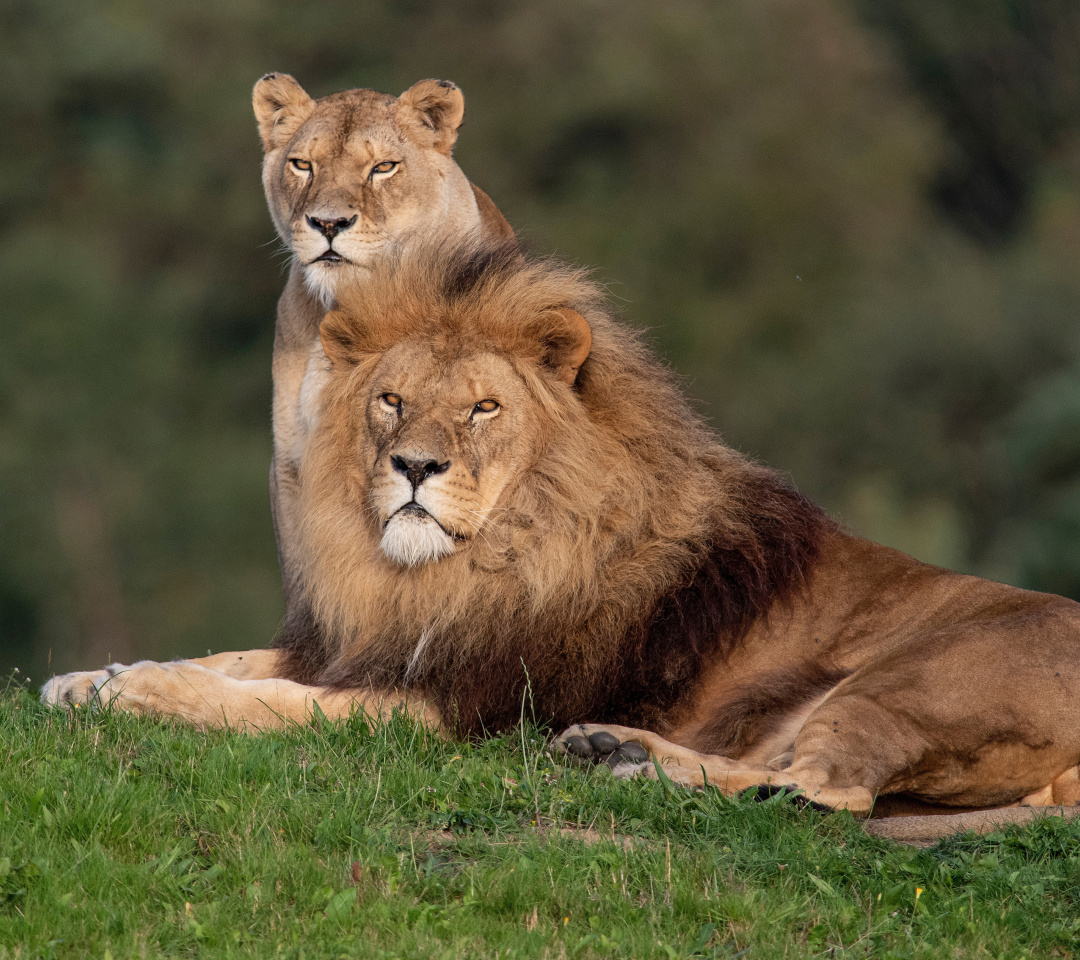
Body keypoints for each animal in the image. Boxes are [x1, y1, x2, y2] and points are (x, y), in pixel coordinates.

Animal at [46, 241, 1080, 837]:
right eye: (391, 400)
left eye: (483, 408)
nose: (413, 467)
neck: (455, 571)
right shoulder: (376, 645)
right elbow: (235, 660)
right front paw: (85, 678)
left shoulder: (451, 706)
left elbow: (266, 702)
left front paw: (137, 691)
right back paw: (613, 752)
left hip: (912, 679)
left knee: (829, 796)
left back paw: (629, 774)